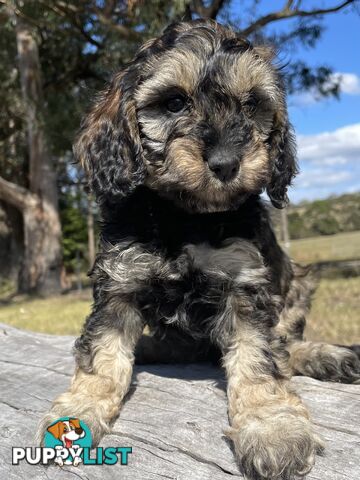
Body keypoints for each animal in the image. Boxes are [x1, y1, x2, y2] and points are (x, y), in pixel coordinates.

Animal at [37, 19, 360, 480]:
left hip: (298, 283)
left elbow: (259, 357)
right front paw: (79, 410)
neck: (186, 216)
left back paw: (327, 356)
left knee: (285, 341)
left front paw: (272, 427)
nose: (226, 163)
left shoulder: (245, 283)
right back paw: (151, 348)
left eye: (252, 104)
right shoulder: (119, 283)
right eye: (174, 103)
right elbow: (102, 353)